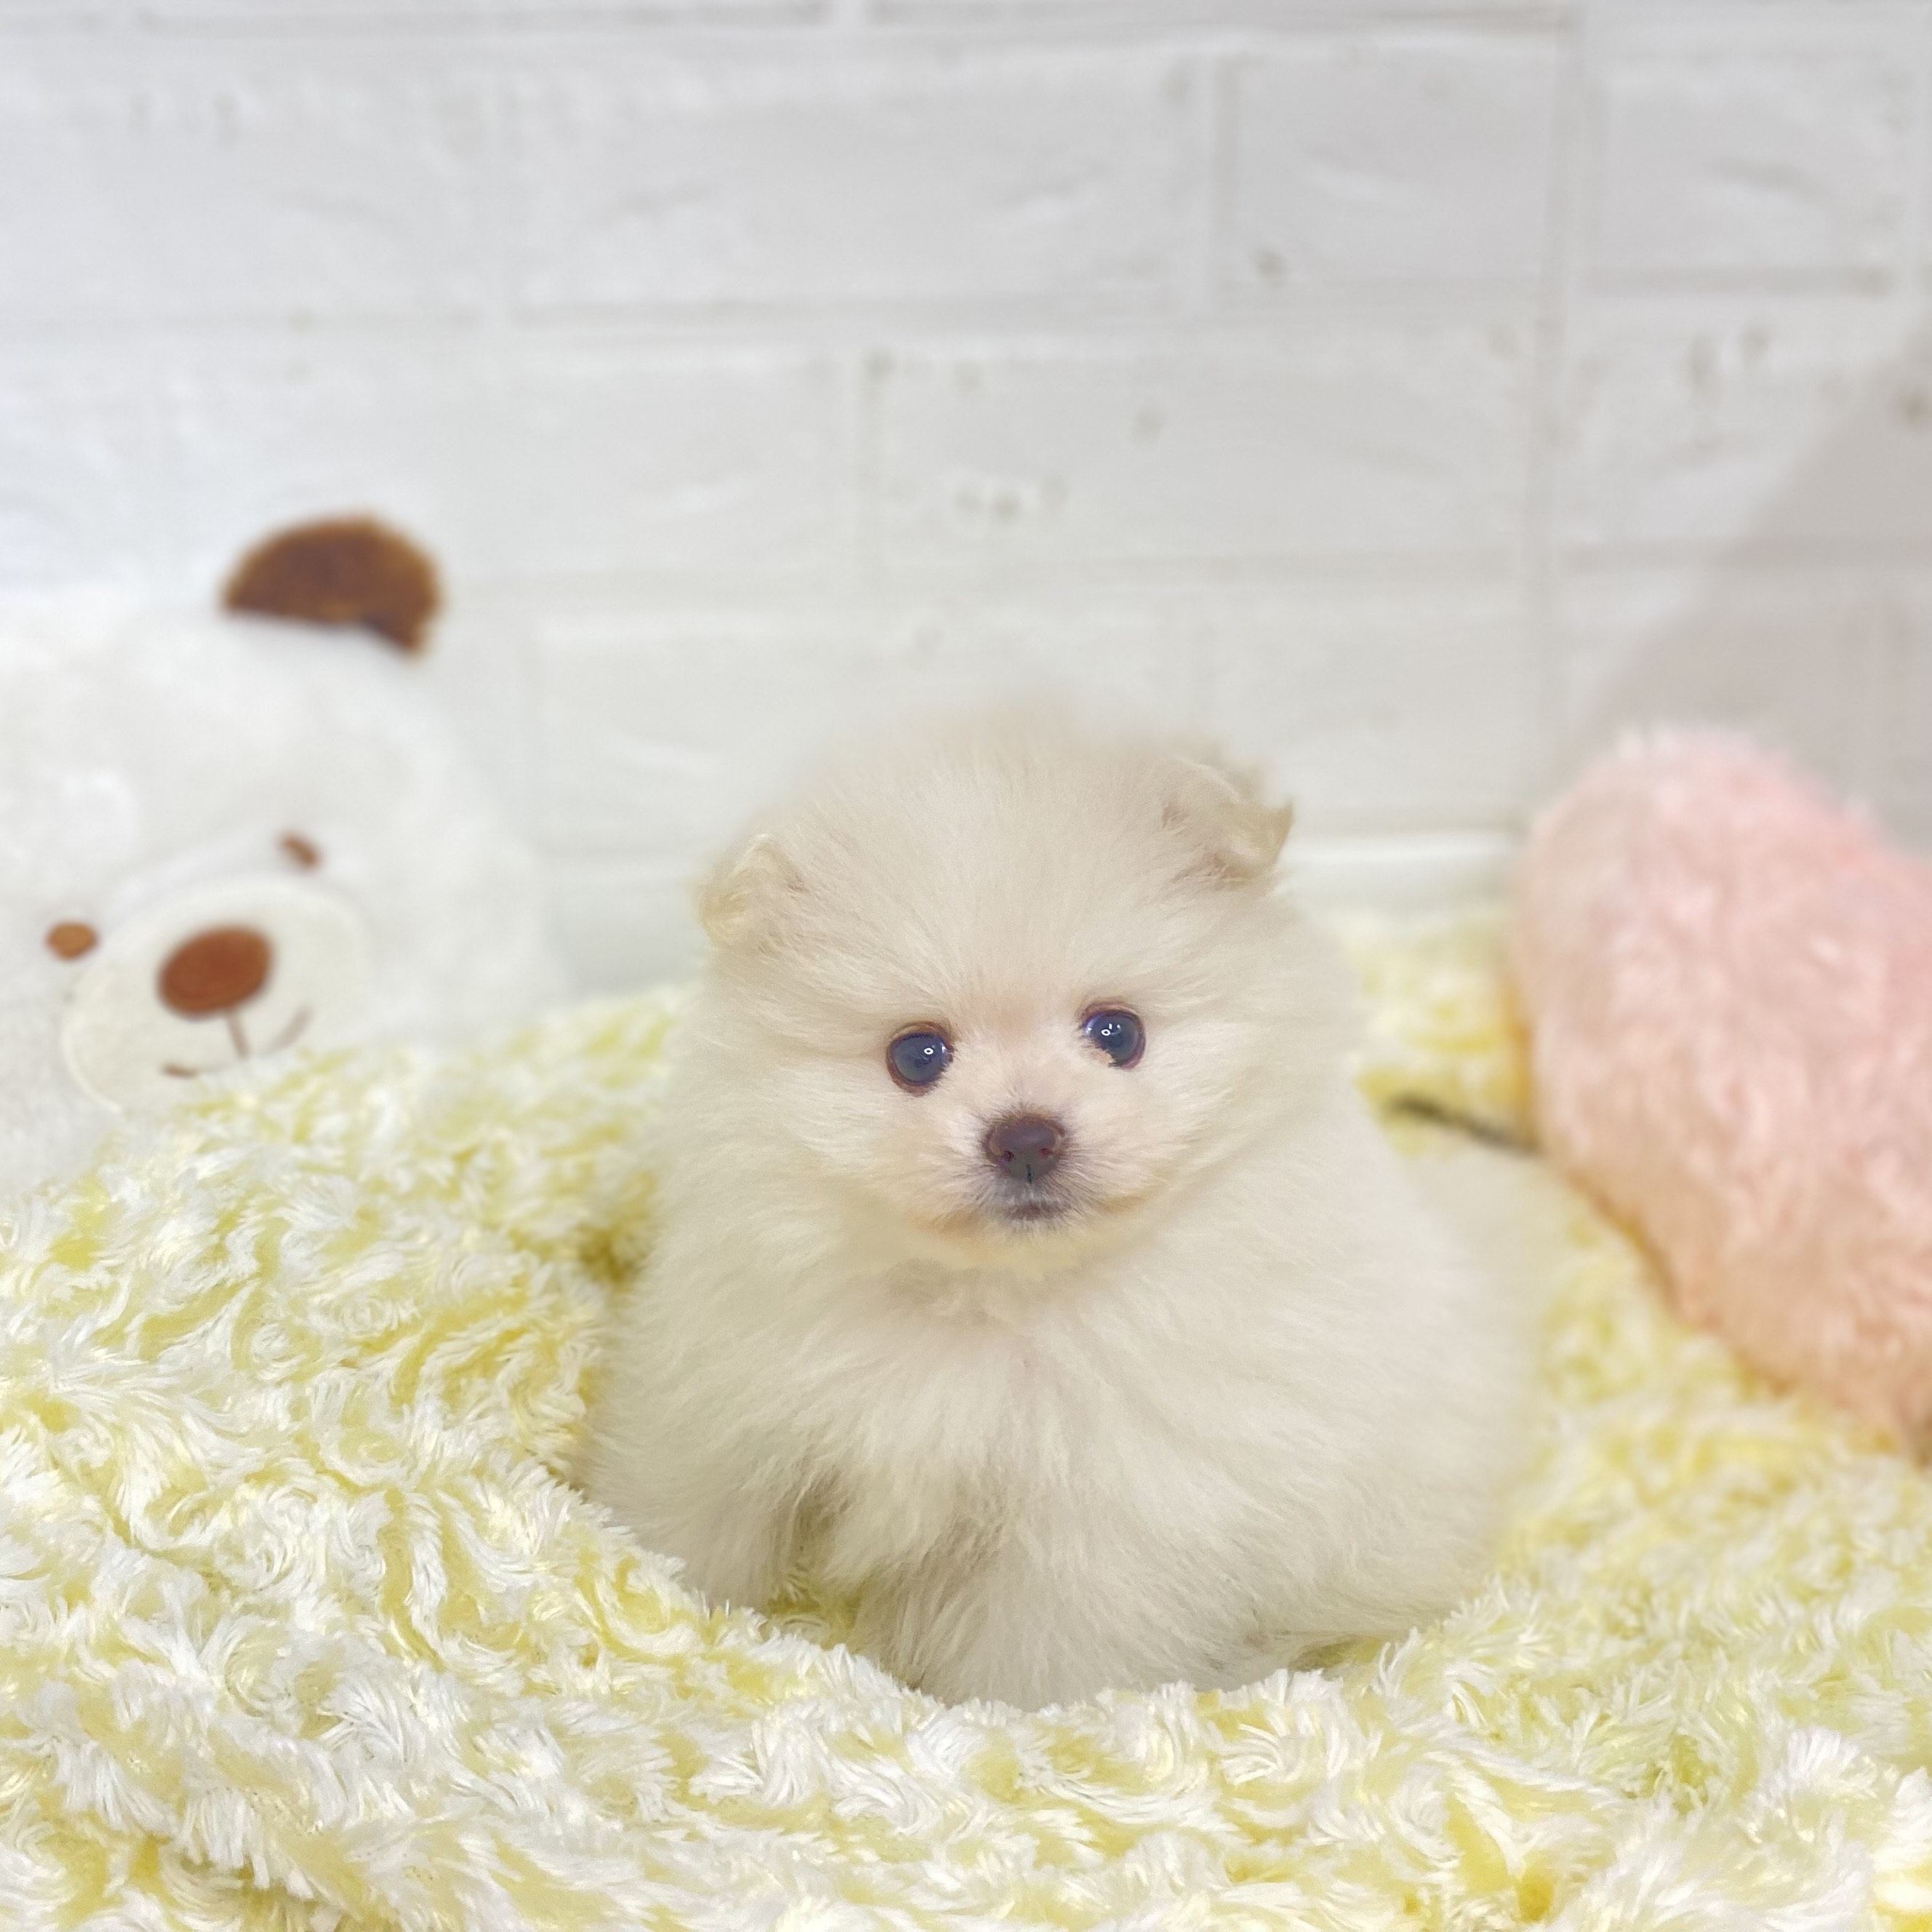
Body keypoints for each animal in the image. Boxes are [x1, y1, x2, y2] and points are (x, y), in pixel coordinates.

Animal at [584, 714, 1533, 1707]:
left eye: (1118, 1034)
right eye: (917, 1056)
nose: (1026, 1135)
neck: (993, 1299)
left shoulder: (1096, 1527)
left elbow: (1036, 1653)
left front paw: (994, 1717)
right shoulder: (729, 1397)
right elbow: (690, 1509)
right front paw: (663, 1603)